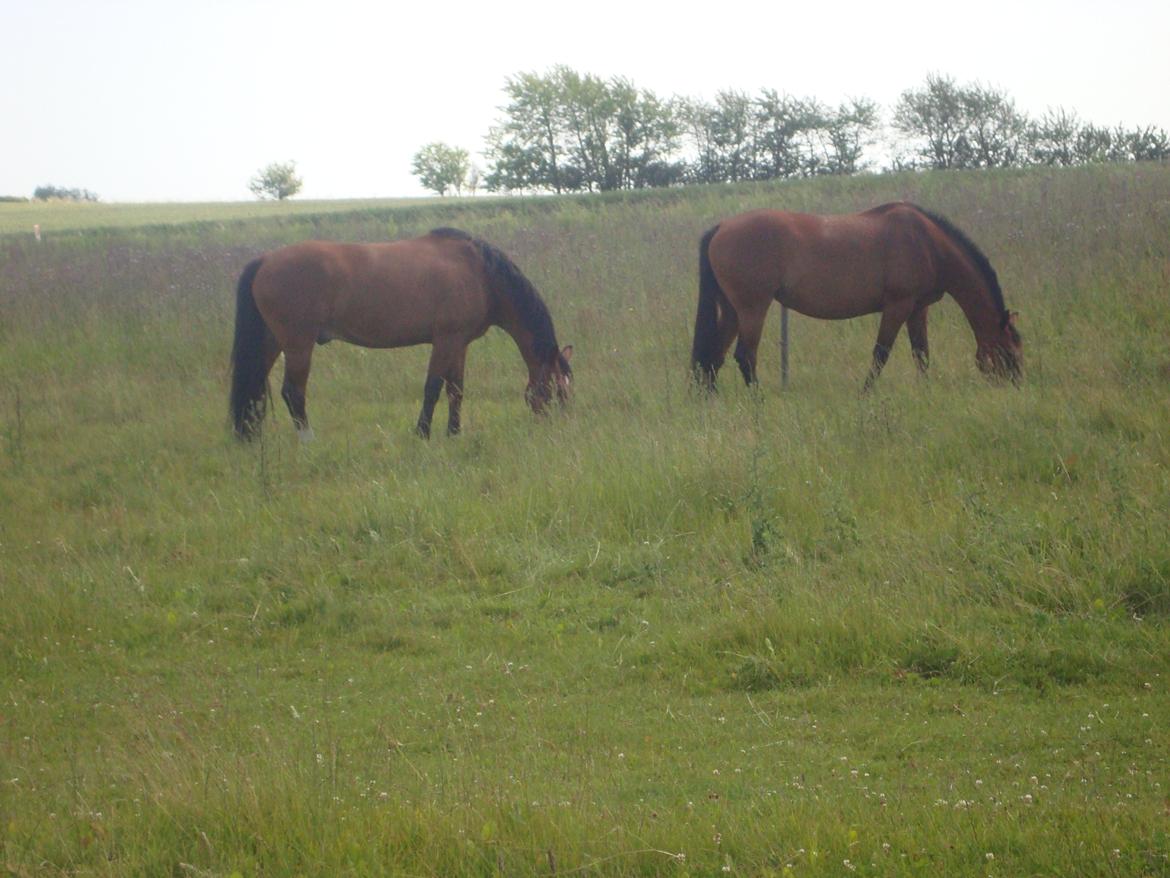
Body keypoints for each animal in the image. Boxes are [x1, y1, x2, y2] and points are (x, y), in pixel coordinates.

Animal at [229, 230, 570, 442]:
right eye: (557, 388)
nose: (558, 427)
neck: (479, 272)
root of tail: (266, 260)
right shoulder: (445, 340)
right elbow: (433, 388)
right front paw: (423, 433)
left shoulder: (459, 344)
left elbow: (456, 390)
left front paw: (454, 433)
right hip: (298, 345)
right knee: (293, 392)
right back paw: (308, 440)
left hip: (272, 342)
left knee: (254, 387)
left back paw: (249, 437)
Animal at [687, 204, 1020, 391]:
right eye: (1010, 349)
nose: (1016, 384)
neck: (927, 243)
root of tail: (721, 227)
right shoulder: (897, 306)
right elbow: (881, 353)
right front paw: (866, 392)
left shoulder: (917, 309)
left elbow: (921, 353)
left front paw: (926, 391)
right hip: (752, 308)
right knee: (744, 356)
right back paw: (758, 401)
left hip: (732, 311)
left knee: (714, 356)